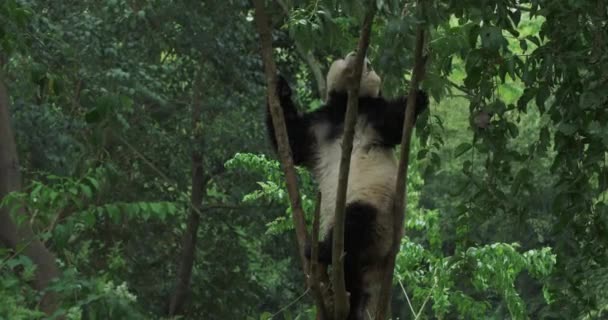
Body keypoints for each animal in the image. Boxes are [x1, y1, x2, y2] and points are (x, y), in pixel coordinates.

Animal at [266, 51, 428, 318]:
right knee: (353, 275)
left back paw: (321, 249)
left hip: (379, 213)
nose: (356, 56)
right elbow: (291, 141)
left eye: (369, 65)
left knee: (355, 221)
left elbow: (395, 122)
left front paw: (418, 97)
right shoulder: (319, 125)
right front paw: (281, 89)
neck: (347, 107)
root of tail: (378, 260)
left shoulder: (372, 115)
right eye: (344, 56)